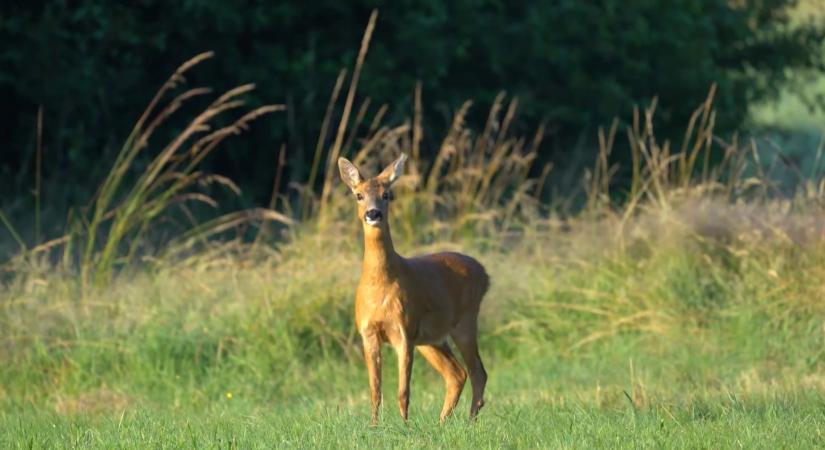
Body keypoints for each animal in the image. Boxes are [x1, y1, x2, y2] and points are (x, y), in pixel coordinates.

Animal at [336, 153, 490, 424]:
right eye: (359, 195)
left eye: (387, 194)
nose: (373, 213)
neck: (380, 285)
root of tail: (484, 273)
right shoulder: (368, 332)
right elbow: (375, 390)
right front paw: (374, 426)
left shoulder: (403, 331)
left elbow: (403, 391)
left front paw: (404, 425)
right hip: (431, 338)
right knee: (457, 373)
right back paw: (442, 422)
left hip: (464, 321)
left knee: (477, 372)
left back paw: (469, 422)